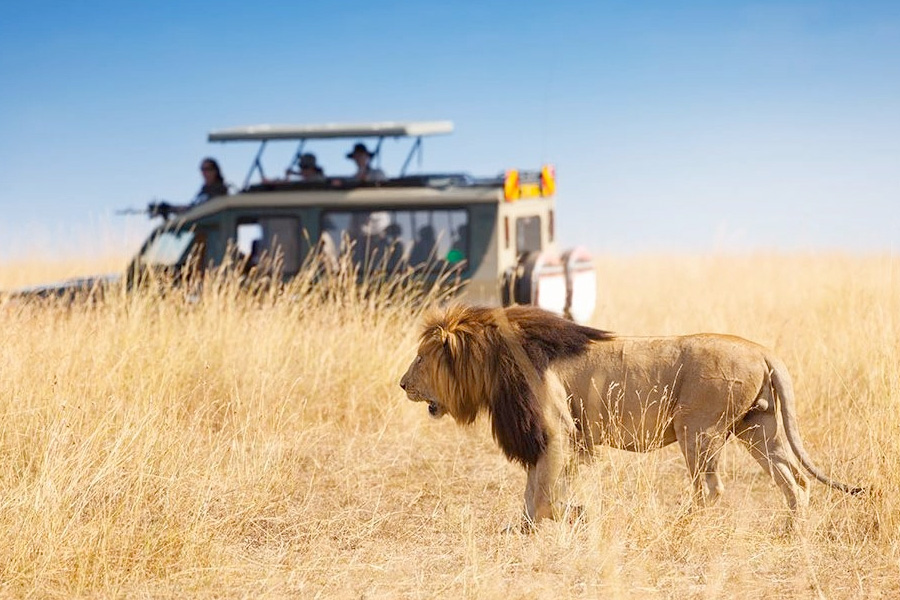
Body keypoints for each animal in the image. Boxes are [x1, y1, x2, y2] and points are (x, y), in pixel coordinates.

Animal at [399, 304, 863, 527]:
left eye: (421, 358)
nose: (402, 384)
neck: (493, 360)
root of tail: (763, 350)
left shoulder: (557, 430)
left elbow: (545, 496)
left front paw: (576, 516)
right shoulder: (555, 438)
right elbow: (534, 493)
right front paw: (524, 530)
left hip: (698, 429)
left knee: (711, 489)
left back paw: (681, 527)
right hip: (757, 428)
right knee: (796, 481)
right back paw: (791, 534)